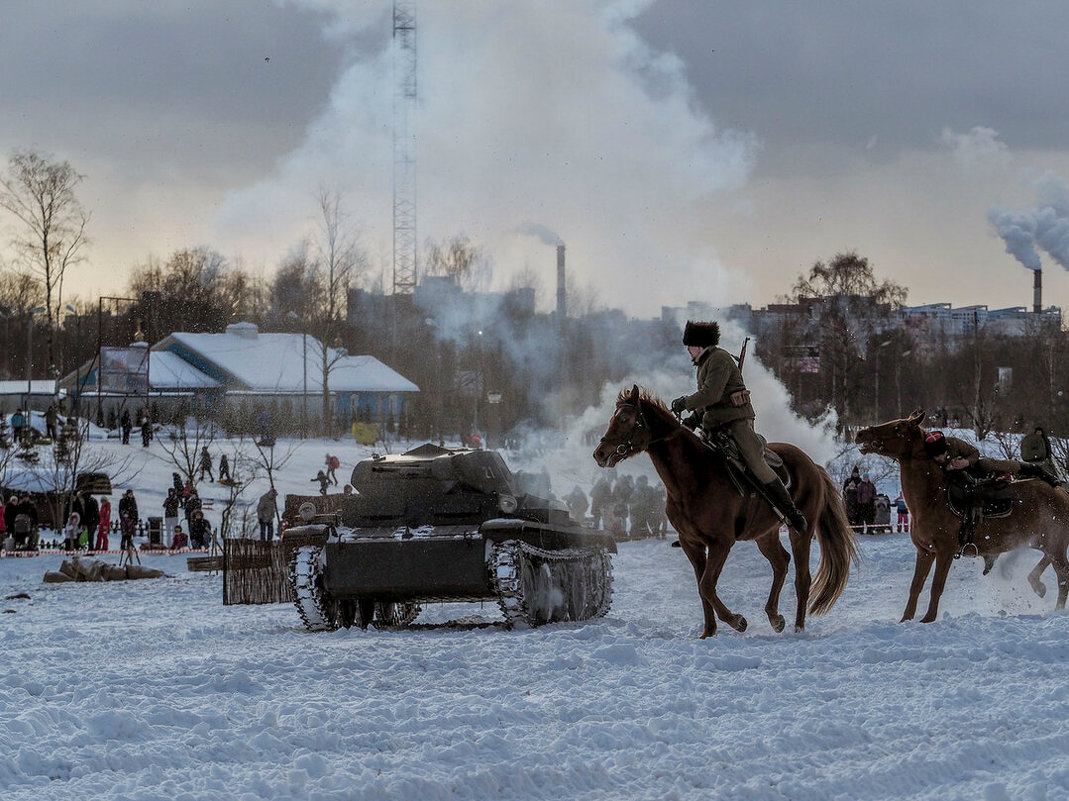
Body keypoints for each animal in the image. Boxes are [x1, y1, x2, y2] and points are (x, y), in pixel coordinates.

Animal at [594, 384, 859, 637]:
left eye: (625, 419)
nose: (600, 454)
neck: (693, 476)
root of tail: (812, 465)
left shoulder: (721, 543)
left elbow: (706, 585)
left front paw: (737, 621)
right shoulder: (691, 543)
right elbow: (702, 587)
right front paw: (708, 633)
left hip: (800, 532)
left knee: (802, 579)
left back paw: (798, 628)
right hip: (765, 534)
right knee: (781, 563)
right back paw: (775, 618)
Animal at [855, 408, 1069, 620]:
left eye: (898, 427)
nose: (861, 433)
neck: (933, 497)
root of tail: (1061, 491)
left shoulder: (945, 552)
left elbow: (936, 587)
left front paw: (928, 619)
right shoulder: (925, 552)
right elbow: (915, 587)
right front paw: (906, 620)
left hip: (1054, 544)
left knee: (1063, 576)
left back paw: (1057, 609)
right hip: (1043, 542)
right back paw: (1038, 585)